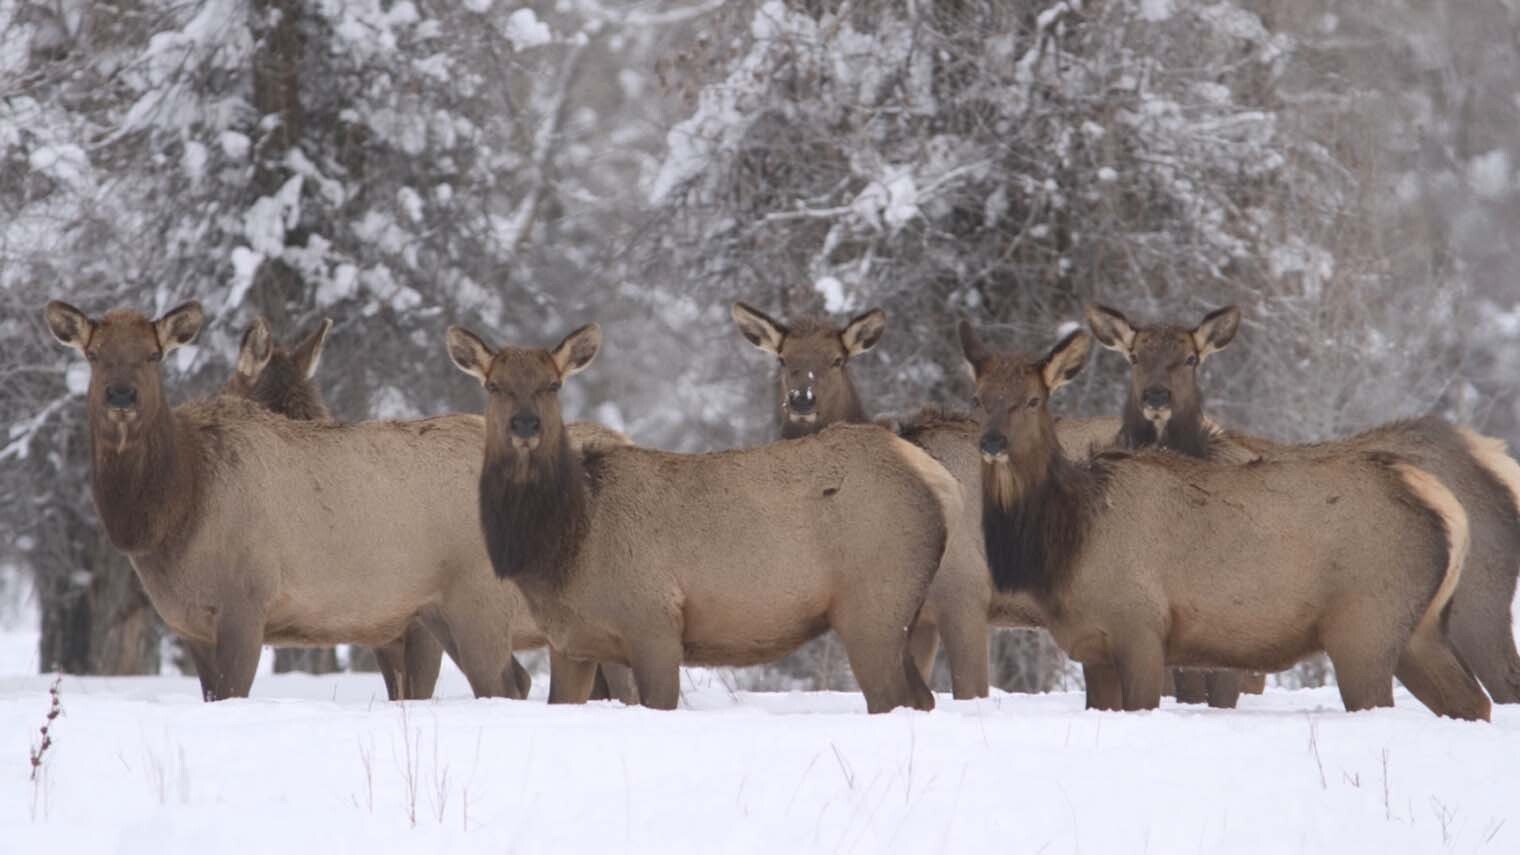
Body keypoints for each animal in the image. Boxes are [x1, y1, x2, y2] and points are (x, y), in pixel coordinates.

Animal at [45, 299, 553, 702]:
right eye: (93, 354)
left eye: (154, 355)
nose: (121, 395)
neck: (175, 511)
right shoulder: (189, 623)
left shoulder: (246, 600)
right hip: (445, 611)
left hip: (477, 599)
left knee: (505, 685)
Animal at [445, 321, 962, 713]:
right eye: (494, 385)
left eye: (553, 385)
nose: (525, 425)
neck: (564, 547)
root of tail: (935, 477)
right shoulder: (571, 643)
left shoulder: (653, 623)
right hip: (897, 613)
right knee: (923, 699)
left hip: (875, 605)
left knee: (895, 699)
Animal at [961, 320, 1490, 720]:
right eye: (978, 398)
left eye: (1034, 399)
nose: (992, 442)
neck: (1068, 540)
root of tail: (1446, 506)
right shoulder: (1091, 644)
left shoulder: (1140, 628)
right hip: (1419, 628)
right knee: (1473, 703)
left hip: (1366, 626)